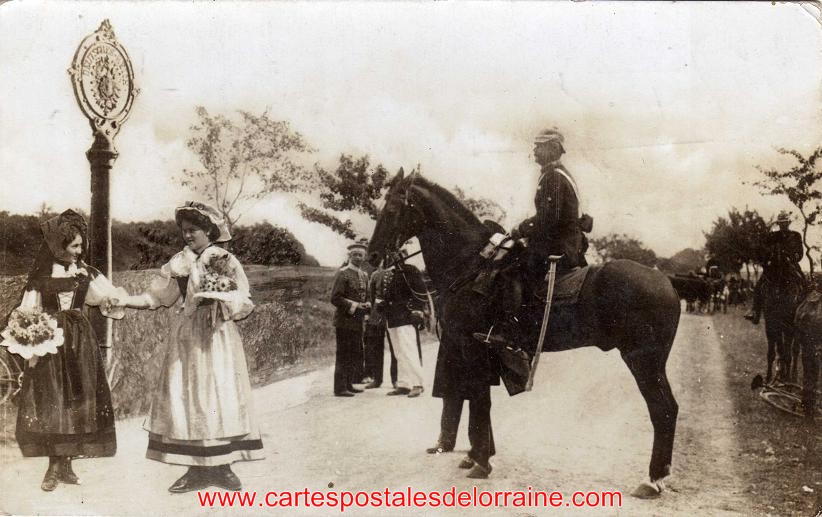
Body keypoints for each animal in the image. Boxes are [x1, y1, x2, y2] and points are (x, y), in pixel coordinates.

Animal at [368, 169, 681, 498]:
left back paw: (652, 479)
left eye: (392, 209)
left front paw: (481, 462)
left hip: (643, 361)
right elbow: (478, 400)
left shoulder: (471, 346)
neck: (470, 264)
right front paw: (477, 456)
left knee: (663, 410)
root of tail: (666, 281)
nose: (373, 255)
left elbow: (479, 399)